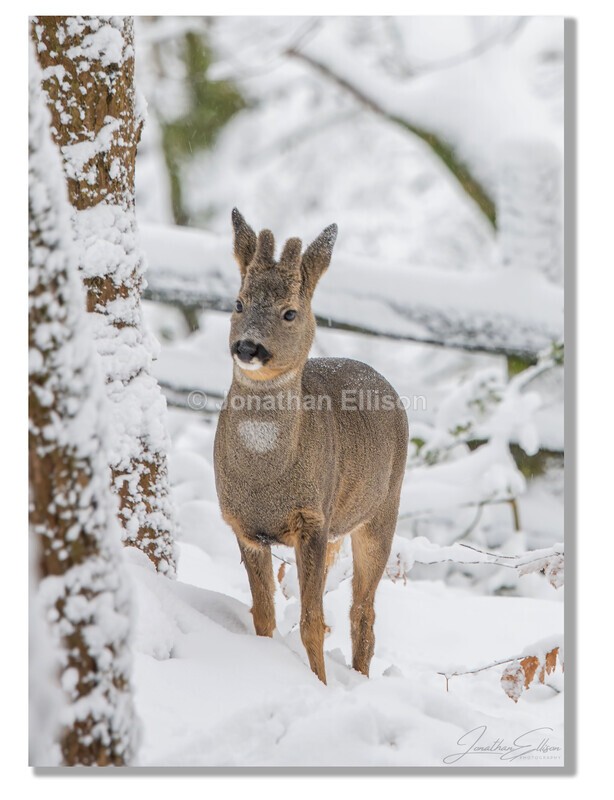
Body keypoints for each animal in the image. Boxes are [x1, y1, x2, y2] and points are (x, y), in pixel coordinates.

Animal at [213, 208, 409, 684]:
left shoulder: (314, 518)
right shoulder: (243, 525)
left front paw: (319, 685)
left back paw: (360, 677)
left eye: (289, 312)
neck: (265, 474)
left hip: (383, 510)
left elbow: (312, 623)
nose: (247, 346)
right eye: (238, 303)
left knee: (363, 611)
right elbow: (263, 617)